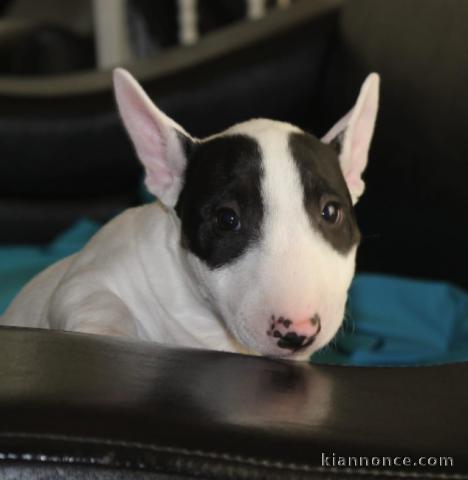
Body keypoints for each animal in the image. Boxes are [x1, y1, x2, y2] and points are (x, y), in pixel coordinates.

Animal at [1, 68, 378, 360]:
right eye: (227, 219)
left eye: (331, 212)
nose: (297, 332)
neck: (206, 326)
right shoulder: (92, 273)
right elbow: (91, 298)